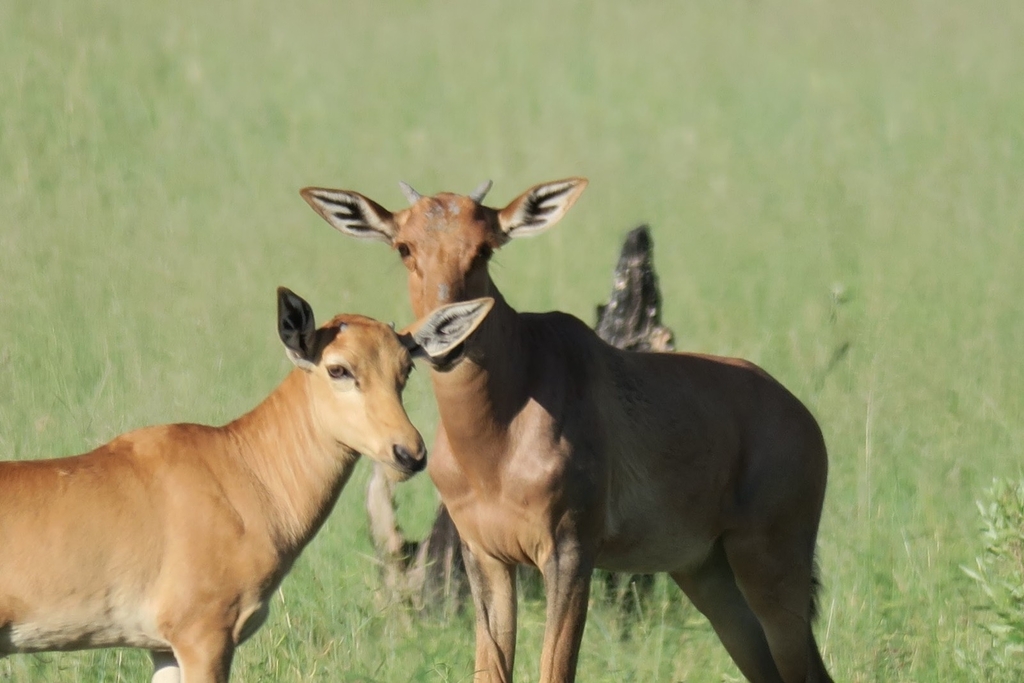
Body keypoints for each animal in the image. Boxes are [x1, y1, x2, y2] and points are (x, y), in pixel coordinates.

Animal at [0, 290, 495, 683]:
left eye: (405, 368)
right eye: (338, 369)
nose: (408, 453)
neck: (239, 465)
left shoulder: (162, 647)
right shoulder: (203, 636)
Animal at [301, 180, 831, 683]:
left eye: (485, 247)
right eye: (404, 247)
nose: (444, 342)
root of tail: (801, 415)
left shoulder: (570, 553)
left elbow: (555, 669)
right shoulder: (486, 557)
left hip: (772, 562)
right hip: (706, 571)